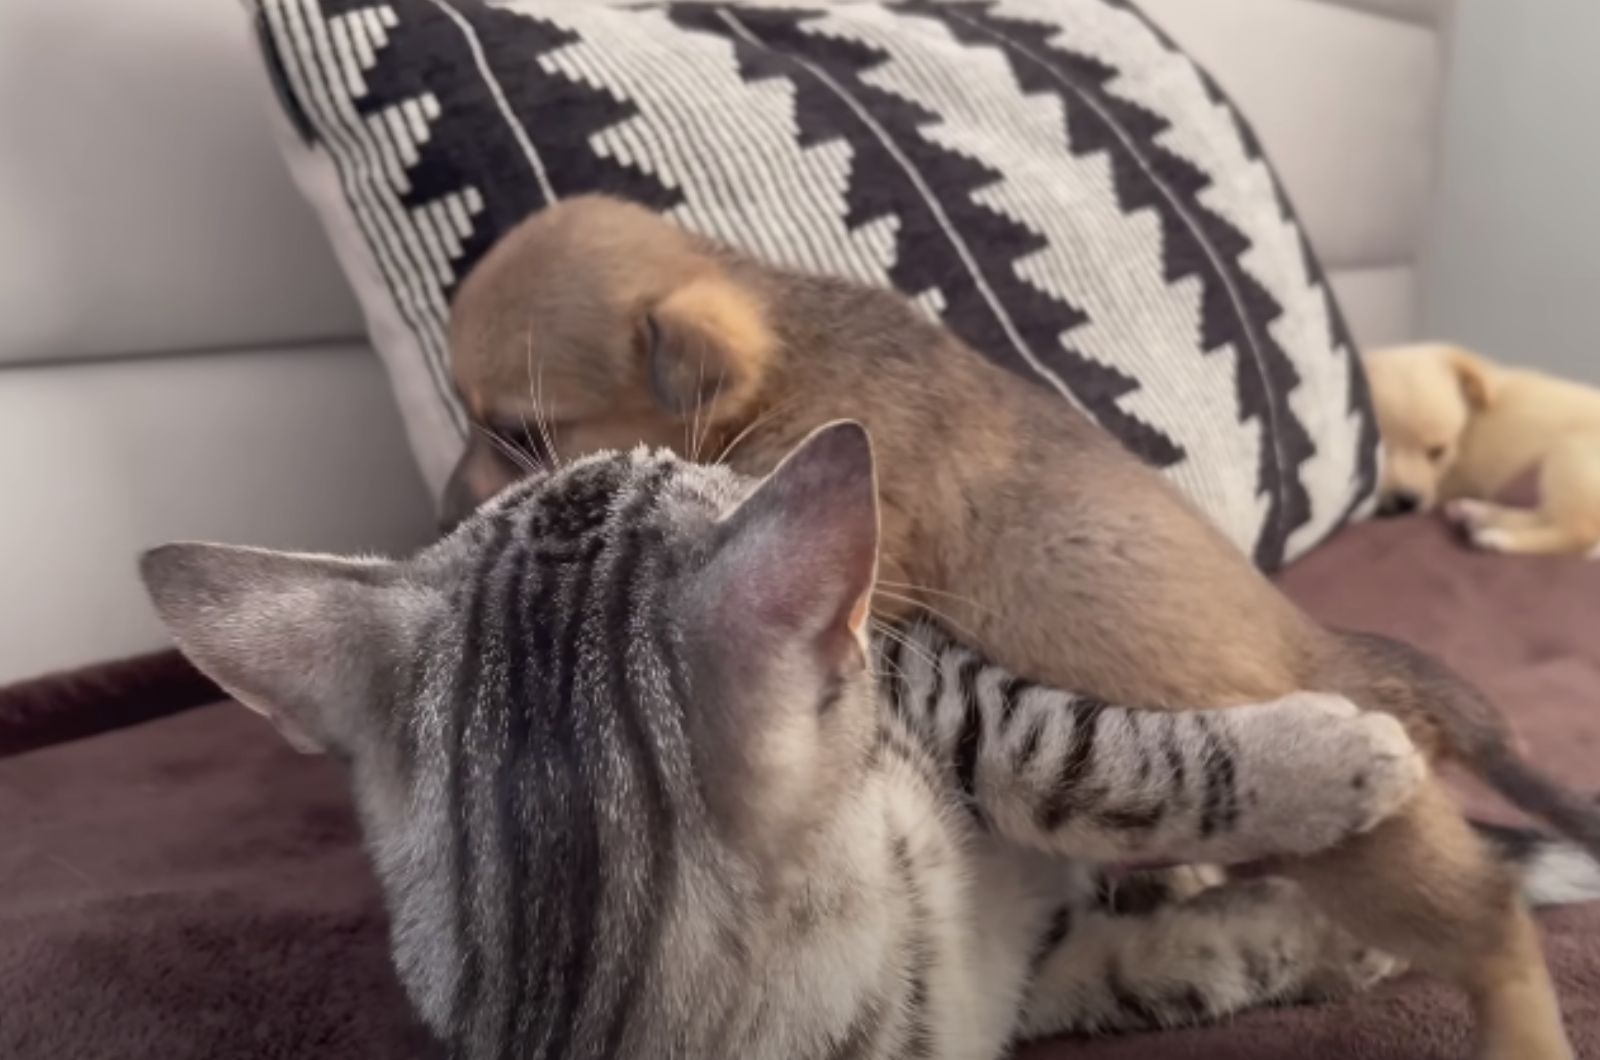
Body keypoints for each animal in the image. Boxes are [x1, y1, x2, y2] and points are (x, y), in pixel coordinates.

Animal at [140, 422, 1600, 1060]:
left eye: (658, 459)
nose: (731, 452)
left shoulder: (938, 693)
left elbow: (1089, 765)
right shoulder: (1013, 987)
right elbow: (1152, 907)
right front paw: (1337, 825)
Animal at [1363, 342, 1600, 560]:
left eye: (1437, 452)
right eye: (1378, 450)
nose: (1407, 501)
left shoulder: (1451, 482)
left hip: (1569, 460)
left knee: (1579, 533)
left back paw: (1500, 540)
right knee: (1547, 516)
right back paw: (1476, 513)